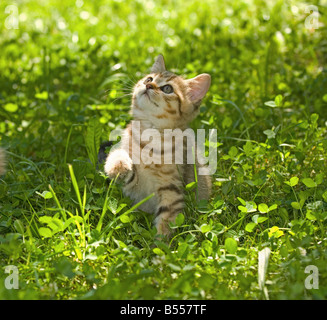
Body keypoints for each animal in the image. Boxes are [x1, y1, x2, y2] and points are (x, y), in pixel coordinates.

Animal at [105, 54, 213, 235]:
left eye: (167, 89)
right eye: (149, 79)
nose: (148, 85)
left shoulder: (172, 190)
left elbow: (166, 223)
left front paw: (159, 242)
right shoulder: (135, 185)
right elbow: (119, 155)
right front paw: (117, 166)